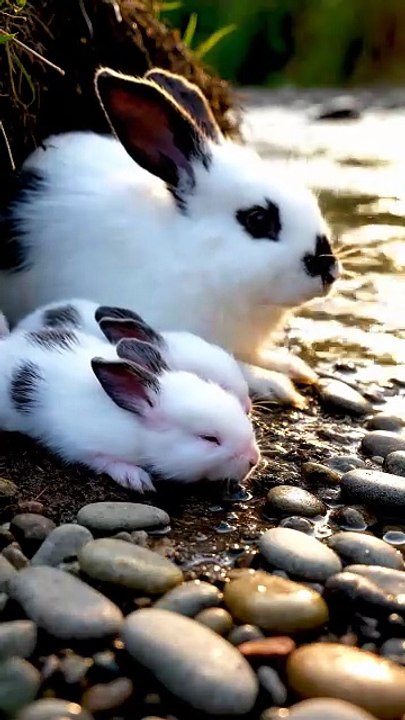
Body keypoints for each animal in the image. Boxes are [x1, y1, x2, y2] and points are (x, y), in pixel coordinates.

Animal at [0, 326, 260, 492]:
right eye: (209, 438)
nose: (254, 460)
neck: (135, 428)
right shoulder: (79, 445)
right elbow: (104, 461)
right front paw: (135, 478)